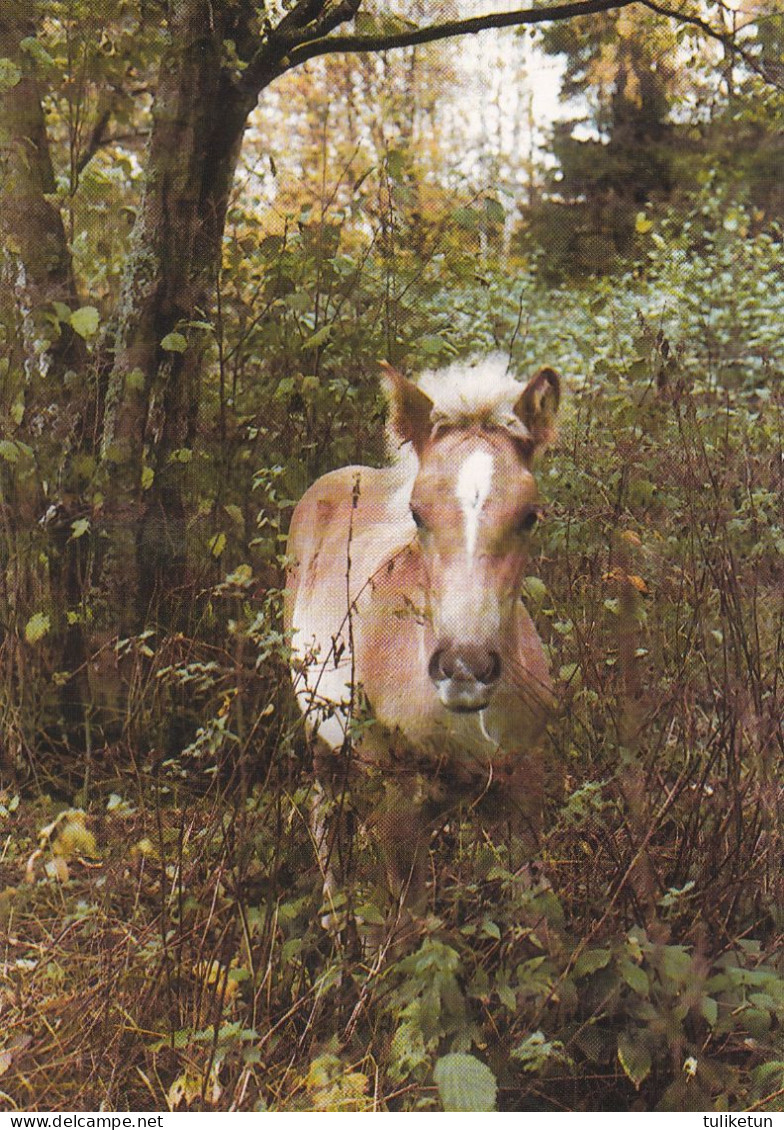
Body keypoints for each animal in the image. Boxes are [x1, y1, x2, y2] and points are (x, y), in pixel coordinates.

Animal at [285, 352, 562, 935]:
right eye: (416, 513)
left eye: (530, 515)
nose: (464, 669)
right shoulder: (398, 805)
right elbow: (407, 927)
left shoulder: (525, 787)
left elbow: (535, 917)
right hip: (320, 733)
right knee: (325, 818)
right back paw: (335, 918)